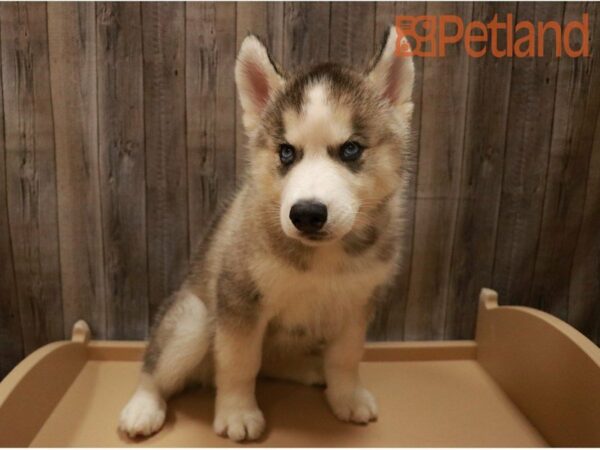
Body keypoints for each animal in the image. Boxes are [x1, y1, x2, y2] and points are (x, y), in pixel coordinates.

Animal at [119, 26, 414, 442]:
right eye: (286, 152)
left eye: (351, 149)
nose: (307, 213)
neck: (323, 259)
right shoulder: (239, 300)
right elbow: (239, 363)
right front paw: (238, 413)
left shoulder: (357, 304)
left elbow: (346, 357)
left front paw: (346, 396)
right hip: (193, 319)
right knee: (155, 366)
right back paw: (143, 406)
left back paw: (311, 370)